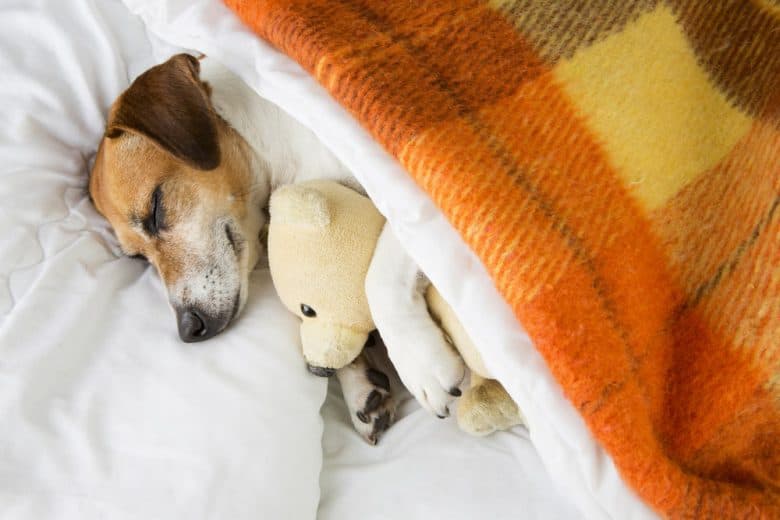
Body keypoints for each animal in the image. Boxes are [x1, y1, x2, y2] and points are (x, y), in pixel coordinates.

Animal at [88, 53, 466, 442]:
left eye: (155, 209)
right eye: (139, 258)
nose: (187, 329)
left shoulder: (418, 199)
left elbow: (379, 280)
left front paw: (419, 359)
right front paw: (358, 383)